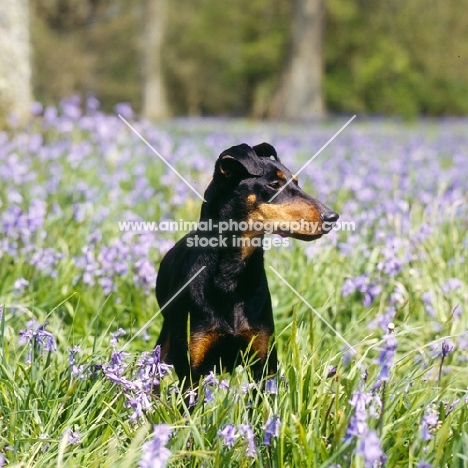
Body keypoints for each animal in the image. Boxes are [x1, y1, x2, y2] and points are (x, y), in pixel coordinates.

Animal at [155, 143, 338, 384]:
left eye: (296, 182)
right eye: (273, 184)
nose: (332, 217)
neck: (231, 274)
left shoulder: (263, 363)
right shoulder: (192, 370)